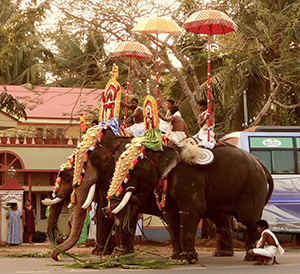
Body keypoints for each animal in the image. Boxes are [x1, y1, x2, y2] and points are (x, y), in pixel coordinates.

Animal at [106, 144, 274, 264]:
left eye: (133, 169)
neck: (165, 150)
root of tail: (261, 164)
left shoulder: (187, 179)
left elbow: (192, 211)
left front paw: (186, 259)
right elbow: (170, 216)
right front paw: (175, 258)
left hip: (253, 184)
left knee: (249, 219)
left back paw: (252, 257)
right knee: (220, 216)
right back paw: (223, 254)